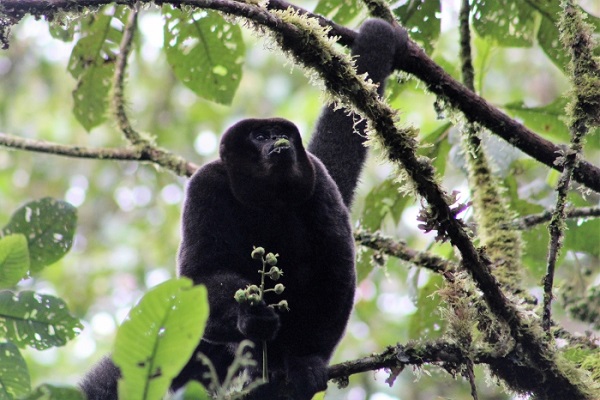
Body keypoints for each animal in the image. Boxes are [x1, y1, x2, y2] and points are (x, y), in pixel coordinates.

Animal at [79, 19, 404, 400]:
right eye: (260, 136)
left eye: (280, 133)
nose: (279, 142)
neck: (267, 198)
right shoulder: (205, 186)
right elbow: (202, 274)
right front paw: (250, 314)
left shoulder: (320, 184)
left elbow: (335, 271)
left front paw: (306, 361)